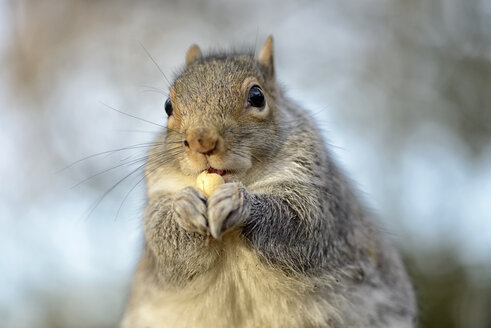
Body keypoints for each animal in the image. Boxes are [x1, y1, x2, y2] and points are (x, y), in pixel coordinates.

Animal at [121, 36, 418, 328]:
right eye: (167, 106)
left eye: (257, 96)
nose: (201, 141)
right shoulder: (160, 191)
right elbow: (164, 242)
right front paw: (185, 208)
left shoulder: (318, 198)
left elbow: (304, 226)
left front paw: (239, 203)